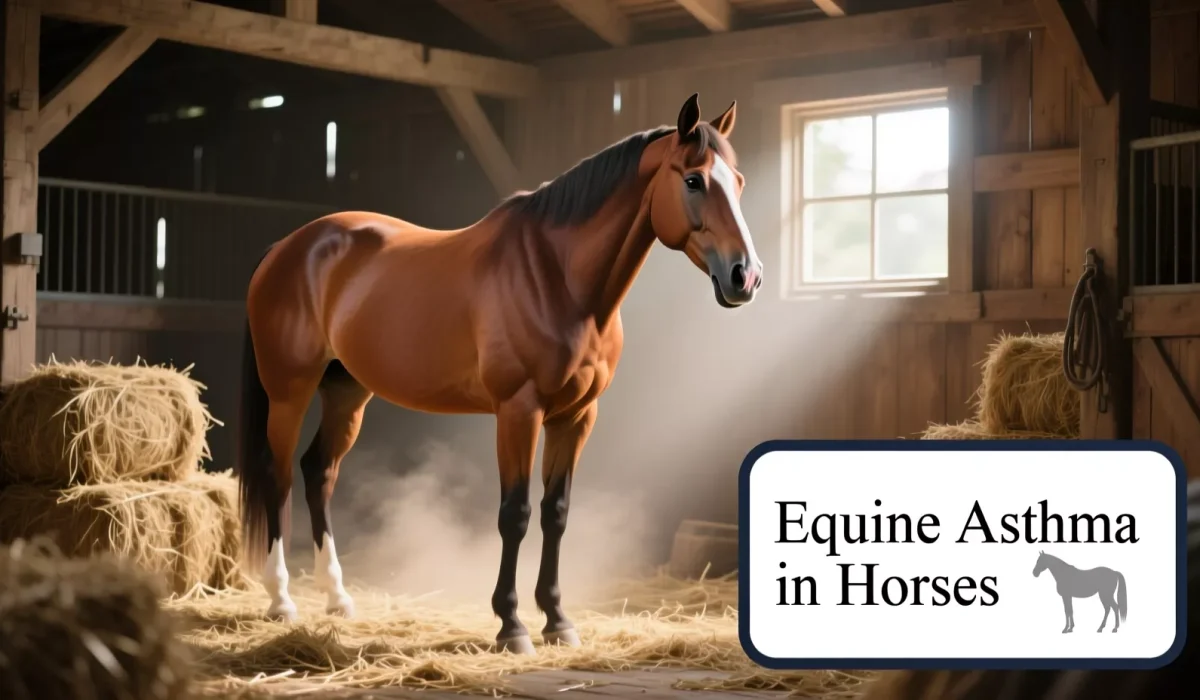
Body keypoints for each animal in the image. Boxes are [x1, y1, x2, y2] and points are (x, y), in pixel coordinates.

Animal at [235, 94, 763, 655]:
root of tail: (289, 247)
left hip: (347, 392)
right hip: (289, 393)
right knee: (279, 475)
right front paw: (511, 626)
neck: (558, 278)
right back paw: (281, 601)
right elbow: (516, 514)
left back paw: (337, 599)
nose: (745, 276)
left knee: (319, 472)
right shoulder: (518, 411)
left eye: (739, 181)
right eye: (694, 180)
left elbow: (556, 513)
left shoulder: (576, 417)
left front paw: (557, 620)